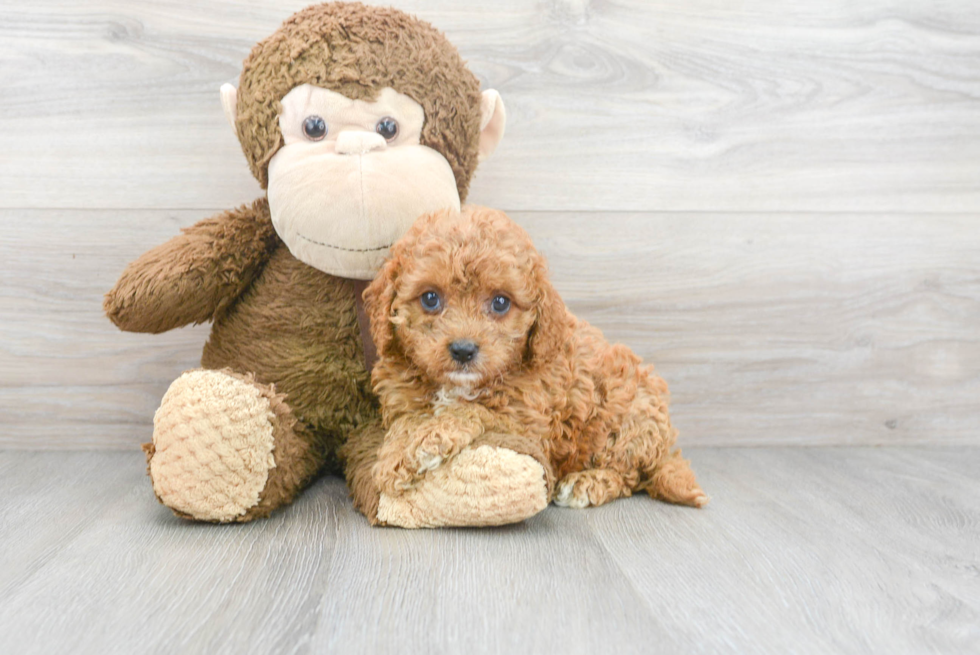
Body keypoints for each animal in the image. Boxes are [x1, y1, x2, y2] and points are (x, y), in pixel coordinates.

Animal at [364, 208, 708, 510]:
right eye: (430, 298)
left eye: (500, 303)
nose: (463, 350)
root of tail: (666, 445)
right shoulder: (402, 400)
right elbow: (407, 421)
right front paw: (396, 453)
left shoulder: (527, 423)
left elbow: (470, 410)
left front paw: (420, 445)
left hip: (631, 419)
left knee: (629, 476)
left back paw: (587, 483)